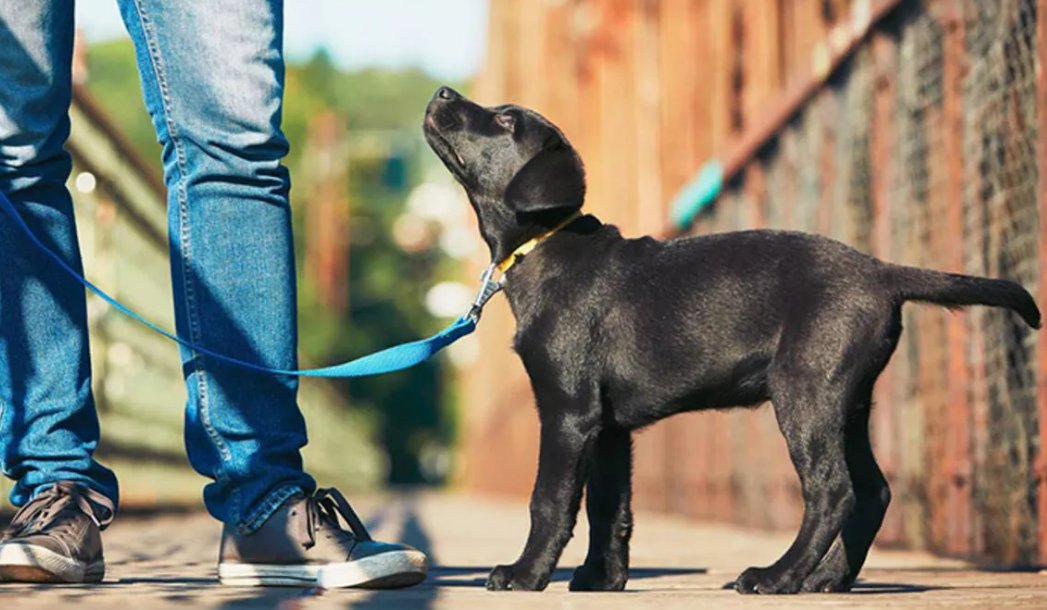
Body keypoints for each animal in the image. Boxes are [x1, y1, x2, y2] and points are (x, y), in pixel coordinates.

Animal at [420, 87, 1034, 598]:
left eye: (505, 120)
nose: (443, 91)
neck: (545, 245)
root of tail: (883, 272)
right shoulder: (609, 426)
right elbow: (609, 508)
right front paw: (601, 579)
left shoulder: (569, 411)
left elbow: (550, 500)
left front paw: (525, 574)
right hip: (848, 400)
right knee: (872, 491)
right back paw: (827, 579)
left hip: (806, 392)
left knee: (833, 490)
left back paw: (777, 576)